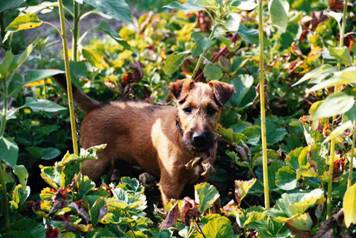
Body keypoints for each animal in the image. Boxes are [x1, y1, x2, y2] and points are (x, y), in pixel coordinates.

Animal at [54, 76, 235, 203]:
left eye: (211, 110)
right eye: (187, 109)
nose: (199, 138)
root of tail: (96, 106)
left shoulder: (200, 181)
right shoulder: (170, 186)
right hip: (92, 163)